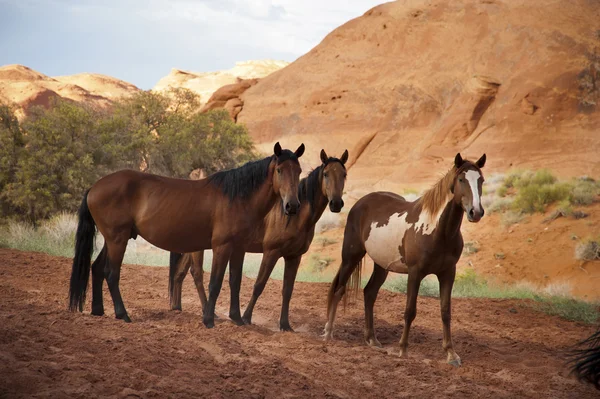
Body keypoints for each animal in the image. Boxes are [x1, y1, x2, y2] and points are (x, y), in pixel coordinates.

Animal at [68, 141, 304, 328]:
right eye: (280, 170)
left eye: (299, 171)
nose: (292, 206)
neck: (237, 197)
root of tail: (94, 187)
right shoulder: (222, 247)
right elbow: (215, 283)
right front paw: (208, 320)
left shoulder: (239, 248)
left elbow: (234, 282)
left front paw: (237, 319)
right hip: (118, 239)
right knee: (111, 273)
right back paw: (122, 314)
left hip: (112, 239)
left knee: (97, 268)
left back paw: (98, 311)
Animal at [168, 150, 346, 332]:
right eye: (326, 174)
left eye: (344, 175)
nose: (336, 203)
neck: (294, 217)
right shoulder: (271, 252)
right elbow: (259, 285)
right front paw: (246, 318)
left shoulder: (294, 257)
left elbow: (287, 291)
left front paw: (285, 325)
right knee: (197, 273)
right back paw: (207, 312)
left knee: (180, 272)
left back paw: (177, 307)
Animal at [324, 154, 482, 368]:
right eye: (461, 179)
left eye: (480, 180)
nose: (476, 212)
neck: (437, 230)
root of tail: (360, 203)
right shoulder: (415, 273)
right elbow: (410, 310)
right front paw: (403, 350)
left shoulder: (448, 273)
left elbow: (445, 312)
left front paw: (451, 354)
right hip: (351, 257)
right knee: (339, 290)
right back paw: (328, 333)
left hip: (381, 265)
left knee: (369, 293)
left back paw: (372, 339)